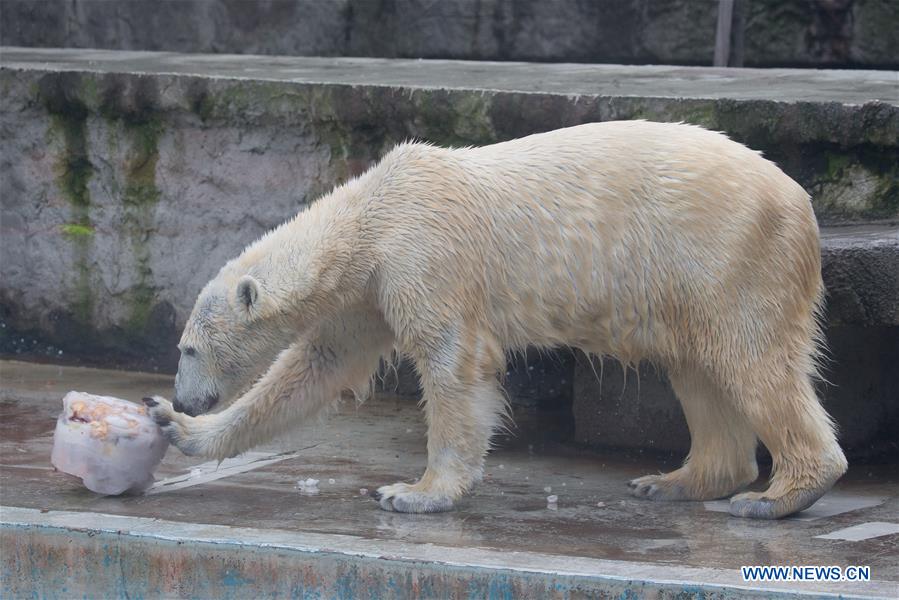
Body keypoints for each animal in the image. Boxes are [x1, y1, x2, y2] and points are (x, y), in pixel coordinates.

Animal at [144, 119, 848, 516]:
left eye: (186, 349)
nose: (186, 396)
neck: (373, 213)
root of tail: (798, 200)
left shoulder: (424, 255)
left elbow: (454, 362)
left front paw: (415, 493)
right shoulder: (369, 291)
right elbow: (317, 367)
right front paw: (180, 430)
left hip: (728, 254)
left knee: (751, 360)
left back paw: (776, 497)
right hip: (687, 282)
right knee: (699, 368)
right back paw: (674, 482)